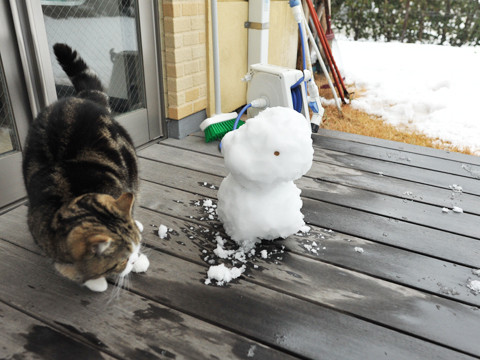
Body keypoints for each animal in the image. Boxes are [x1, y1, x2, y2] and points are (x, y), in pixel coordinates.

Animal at [22, 43, 148, 292]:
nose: (133, 260)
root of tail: (78, 98)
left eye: (132, 254)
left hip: (130, 164)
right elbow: (68, 268)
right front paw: (94, 281)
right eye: (122, 260)